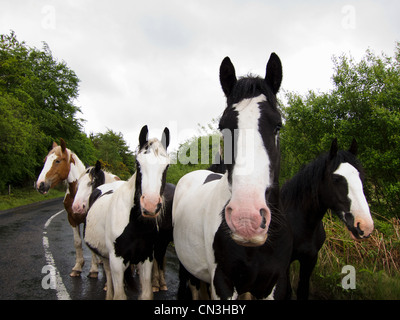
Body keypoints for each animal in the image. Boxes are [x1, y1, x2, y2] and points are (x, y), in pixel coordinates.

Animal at [84, 125, 172, 300]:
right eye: (138, 163)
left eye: (166, 166)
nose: (150, 205)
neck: (135, 225)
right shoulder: (117, 261)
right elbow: (119, 294)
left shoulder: (146, 259)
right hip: (106, 257)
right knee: (108, 276)